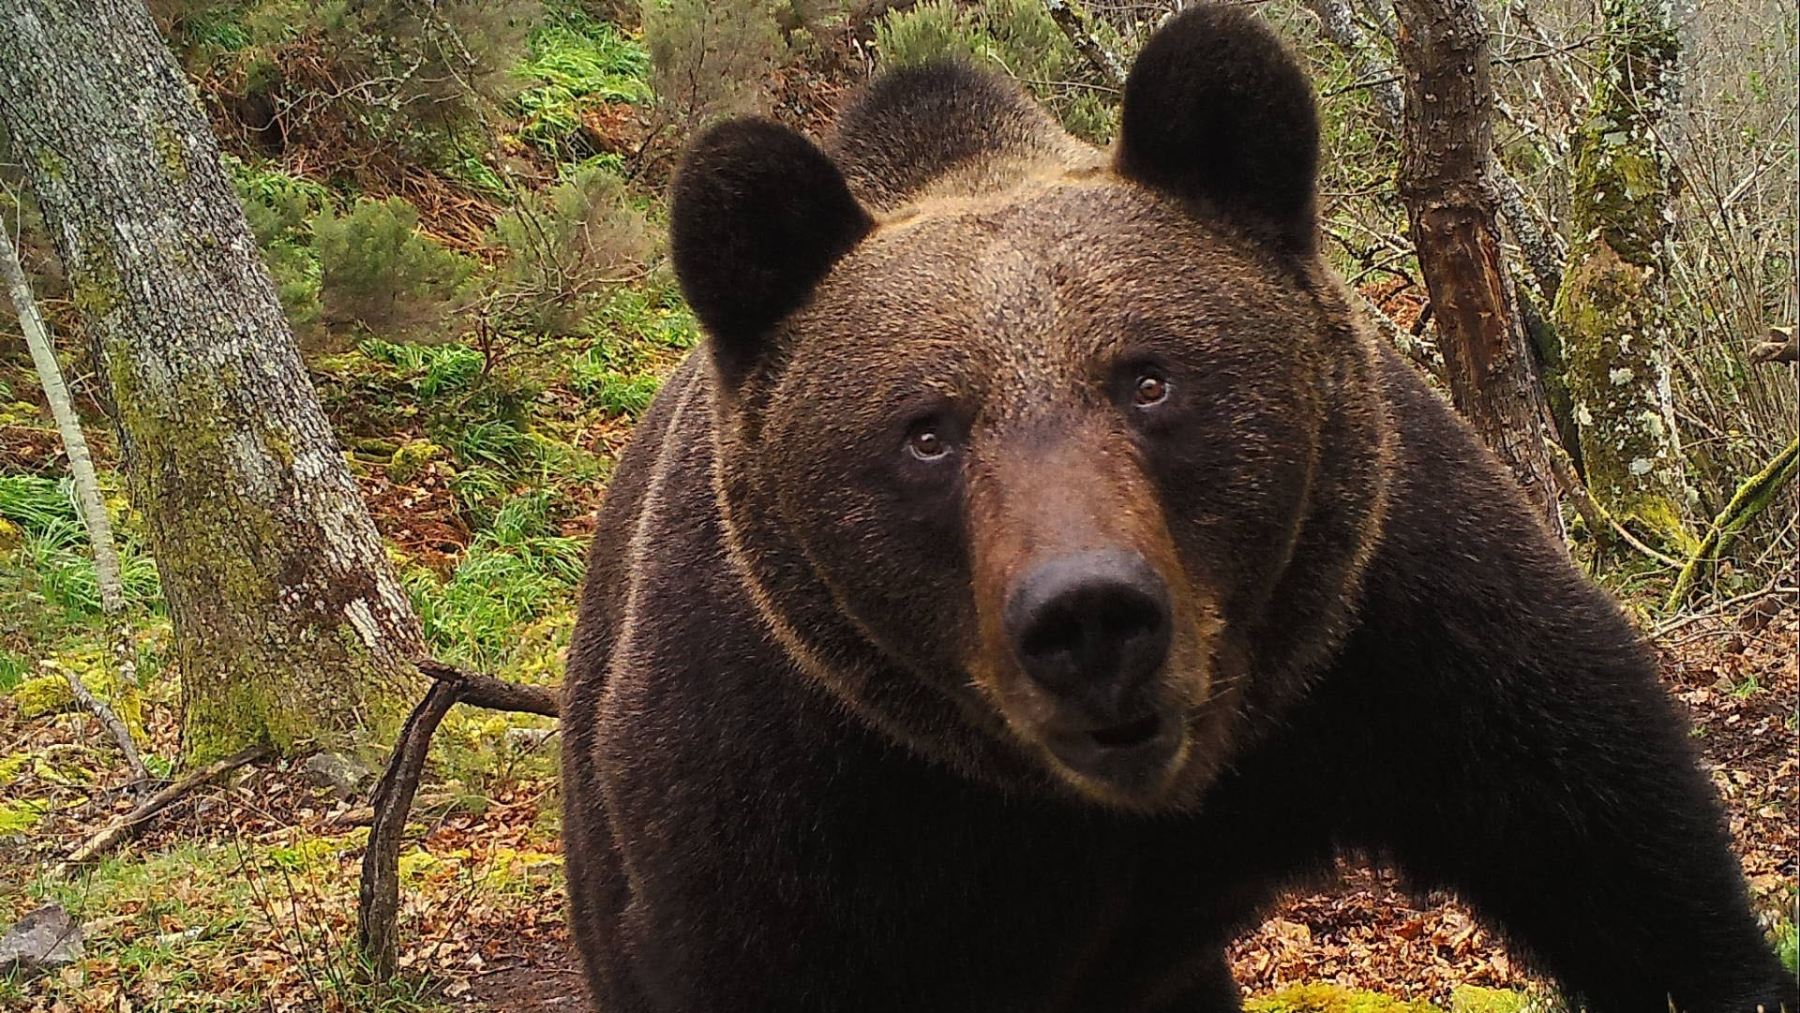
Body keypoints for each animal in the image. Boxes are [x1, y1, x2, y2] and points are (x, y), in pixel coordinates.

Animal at [558, 9, 1785, 1013]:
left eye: (1147, 377)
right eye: (926, 430)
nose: (1089, 616)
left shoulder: (1388, 620)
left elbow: (1606, 834)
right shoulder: (789, 794)